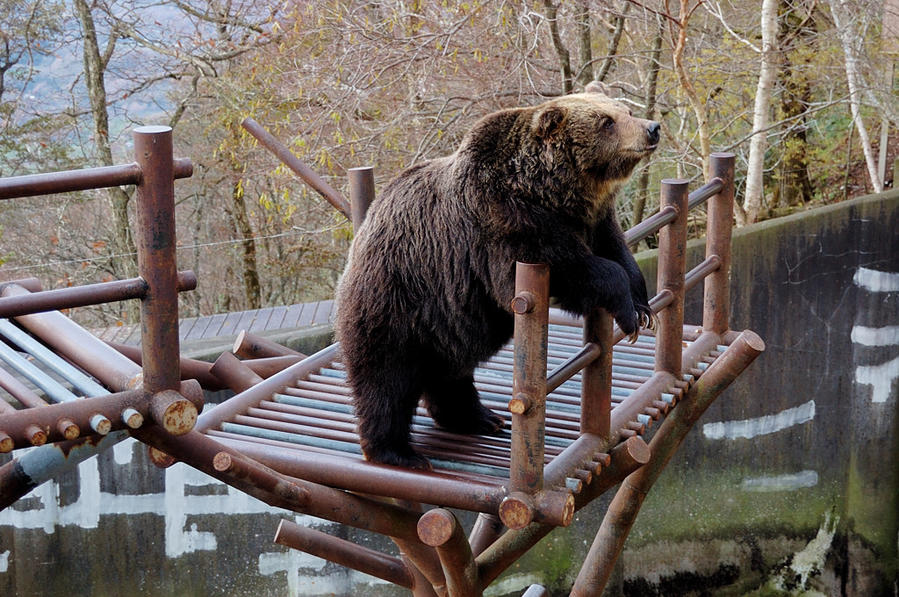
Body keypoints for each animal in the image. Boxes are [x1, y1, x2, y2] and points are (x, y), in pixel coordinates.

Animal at [334, 87, 656, 470]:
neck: (556, 196)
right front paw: (627, 312)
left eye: (624, 110)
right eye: (607, 122)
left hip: (444, 323)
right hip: (397, 302)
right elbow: (573, 270)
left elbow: (620, 254)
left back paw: (482, 418)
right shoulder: (507, 226)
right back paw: (398, 452)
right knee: (386, 381)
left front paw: (643, 306)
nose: (652, 128)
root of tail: (360, 238)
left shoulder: (595, 220)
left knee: (450, 374)